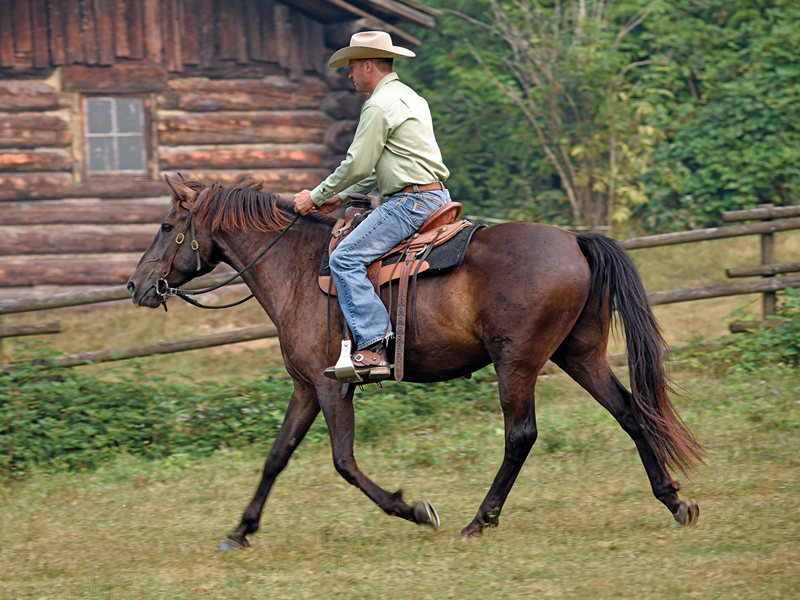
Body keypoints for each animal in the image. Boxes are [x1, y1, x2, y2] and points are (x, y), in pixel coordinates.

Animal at [127, 176, 703, 549]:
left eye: (167, 225)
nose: (135, 285)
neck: (295, 269)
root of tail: (576, 241)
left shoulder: (332, 386)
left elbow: (343, 462)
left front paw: (415, 510)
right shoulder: (305, 387)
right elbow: (276, 457)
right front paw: (240, 531)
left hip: (516, 363)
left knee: (521, 435)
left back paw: (480, 520)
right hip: (580, 356)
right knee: (630, 413)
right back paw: (674, 501)